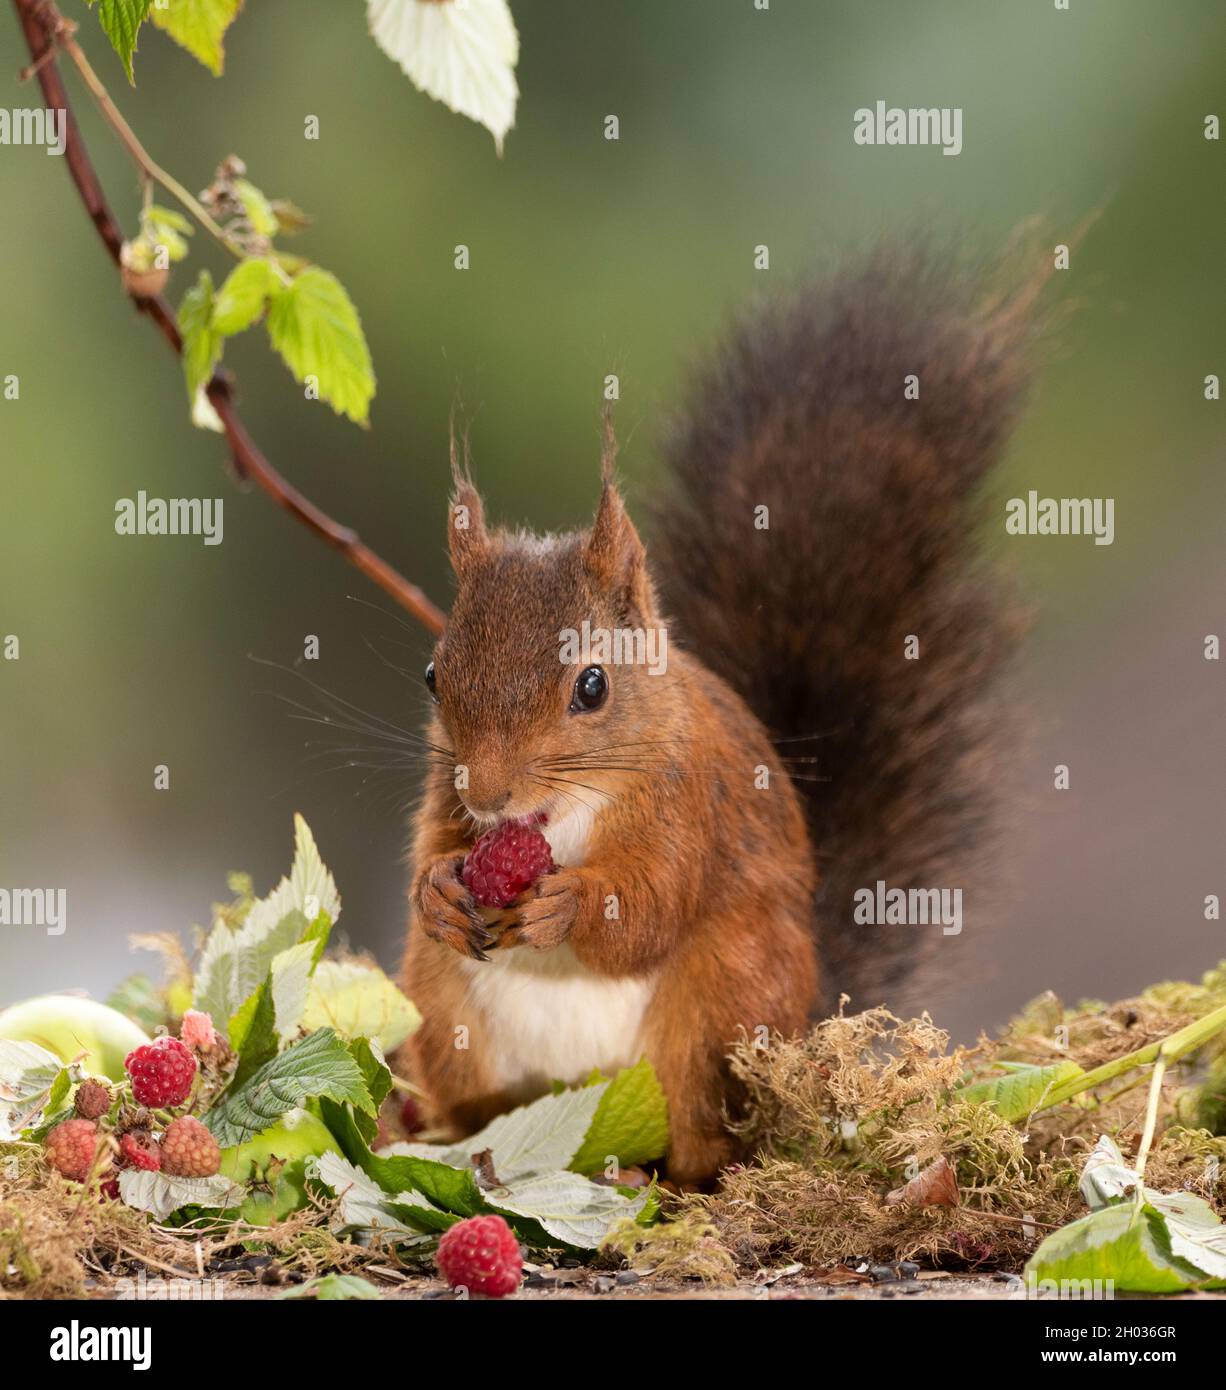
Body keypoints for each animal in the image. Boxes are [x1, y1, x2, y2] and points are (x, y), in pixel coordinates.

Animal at [399, 250, 1033, 1185]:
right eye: (435, 675)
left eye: (593, 686)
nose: (492, 796)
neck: (561, 817)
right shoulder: (445, 797)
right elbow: (433, 850)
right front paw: (441, 888)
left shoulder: (691, 808)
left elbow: (653, 905)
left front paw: (571, 907)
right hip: (449, 1015)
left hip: (722, 999)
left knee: (705, 1142)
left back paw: (663, 1173)